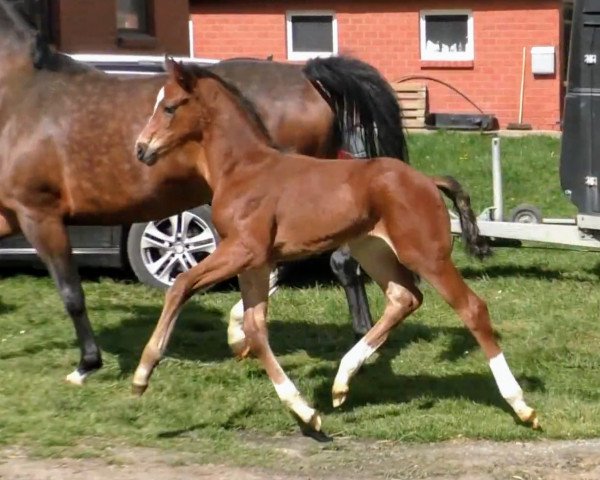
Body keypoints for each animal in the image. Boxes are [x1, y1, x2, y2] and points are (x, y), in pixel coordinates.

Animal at [0, 0, 408, 382]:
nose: (141, 149)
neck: (20, 93)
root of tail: (307, 76)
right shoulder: (10, 214)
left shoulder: (39, 212)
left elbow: (71, 291)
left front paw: (86, 365)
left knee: (329, 262)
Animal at [131, 58, 540, 434]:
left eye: (170, 107)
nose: (141, 149)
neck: (245, 170)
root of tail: (427, 180)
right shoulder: (256, 261)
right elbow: (255, 328)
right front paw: (304, 409)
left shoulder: (243, 250)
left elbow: (182, 284)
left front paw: (143, 372)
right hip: (372, 250)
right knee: (404, 298)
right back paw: (342, 381)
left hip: (426, 254)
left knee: (472, 308)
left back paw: (521, 405)